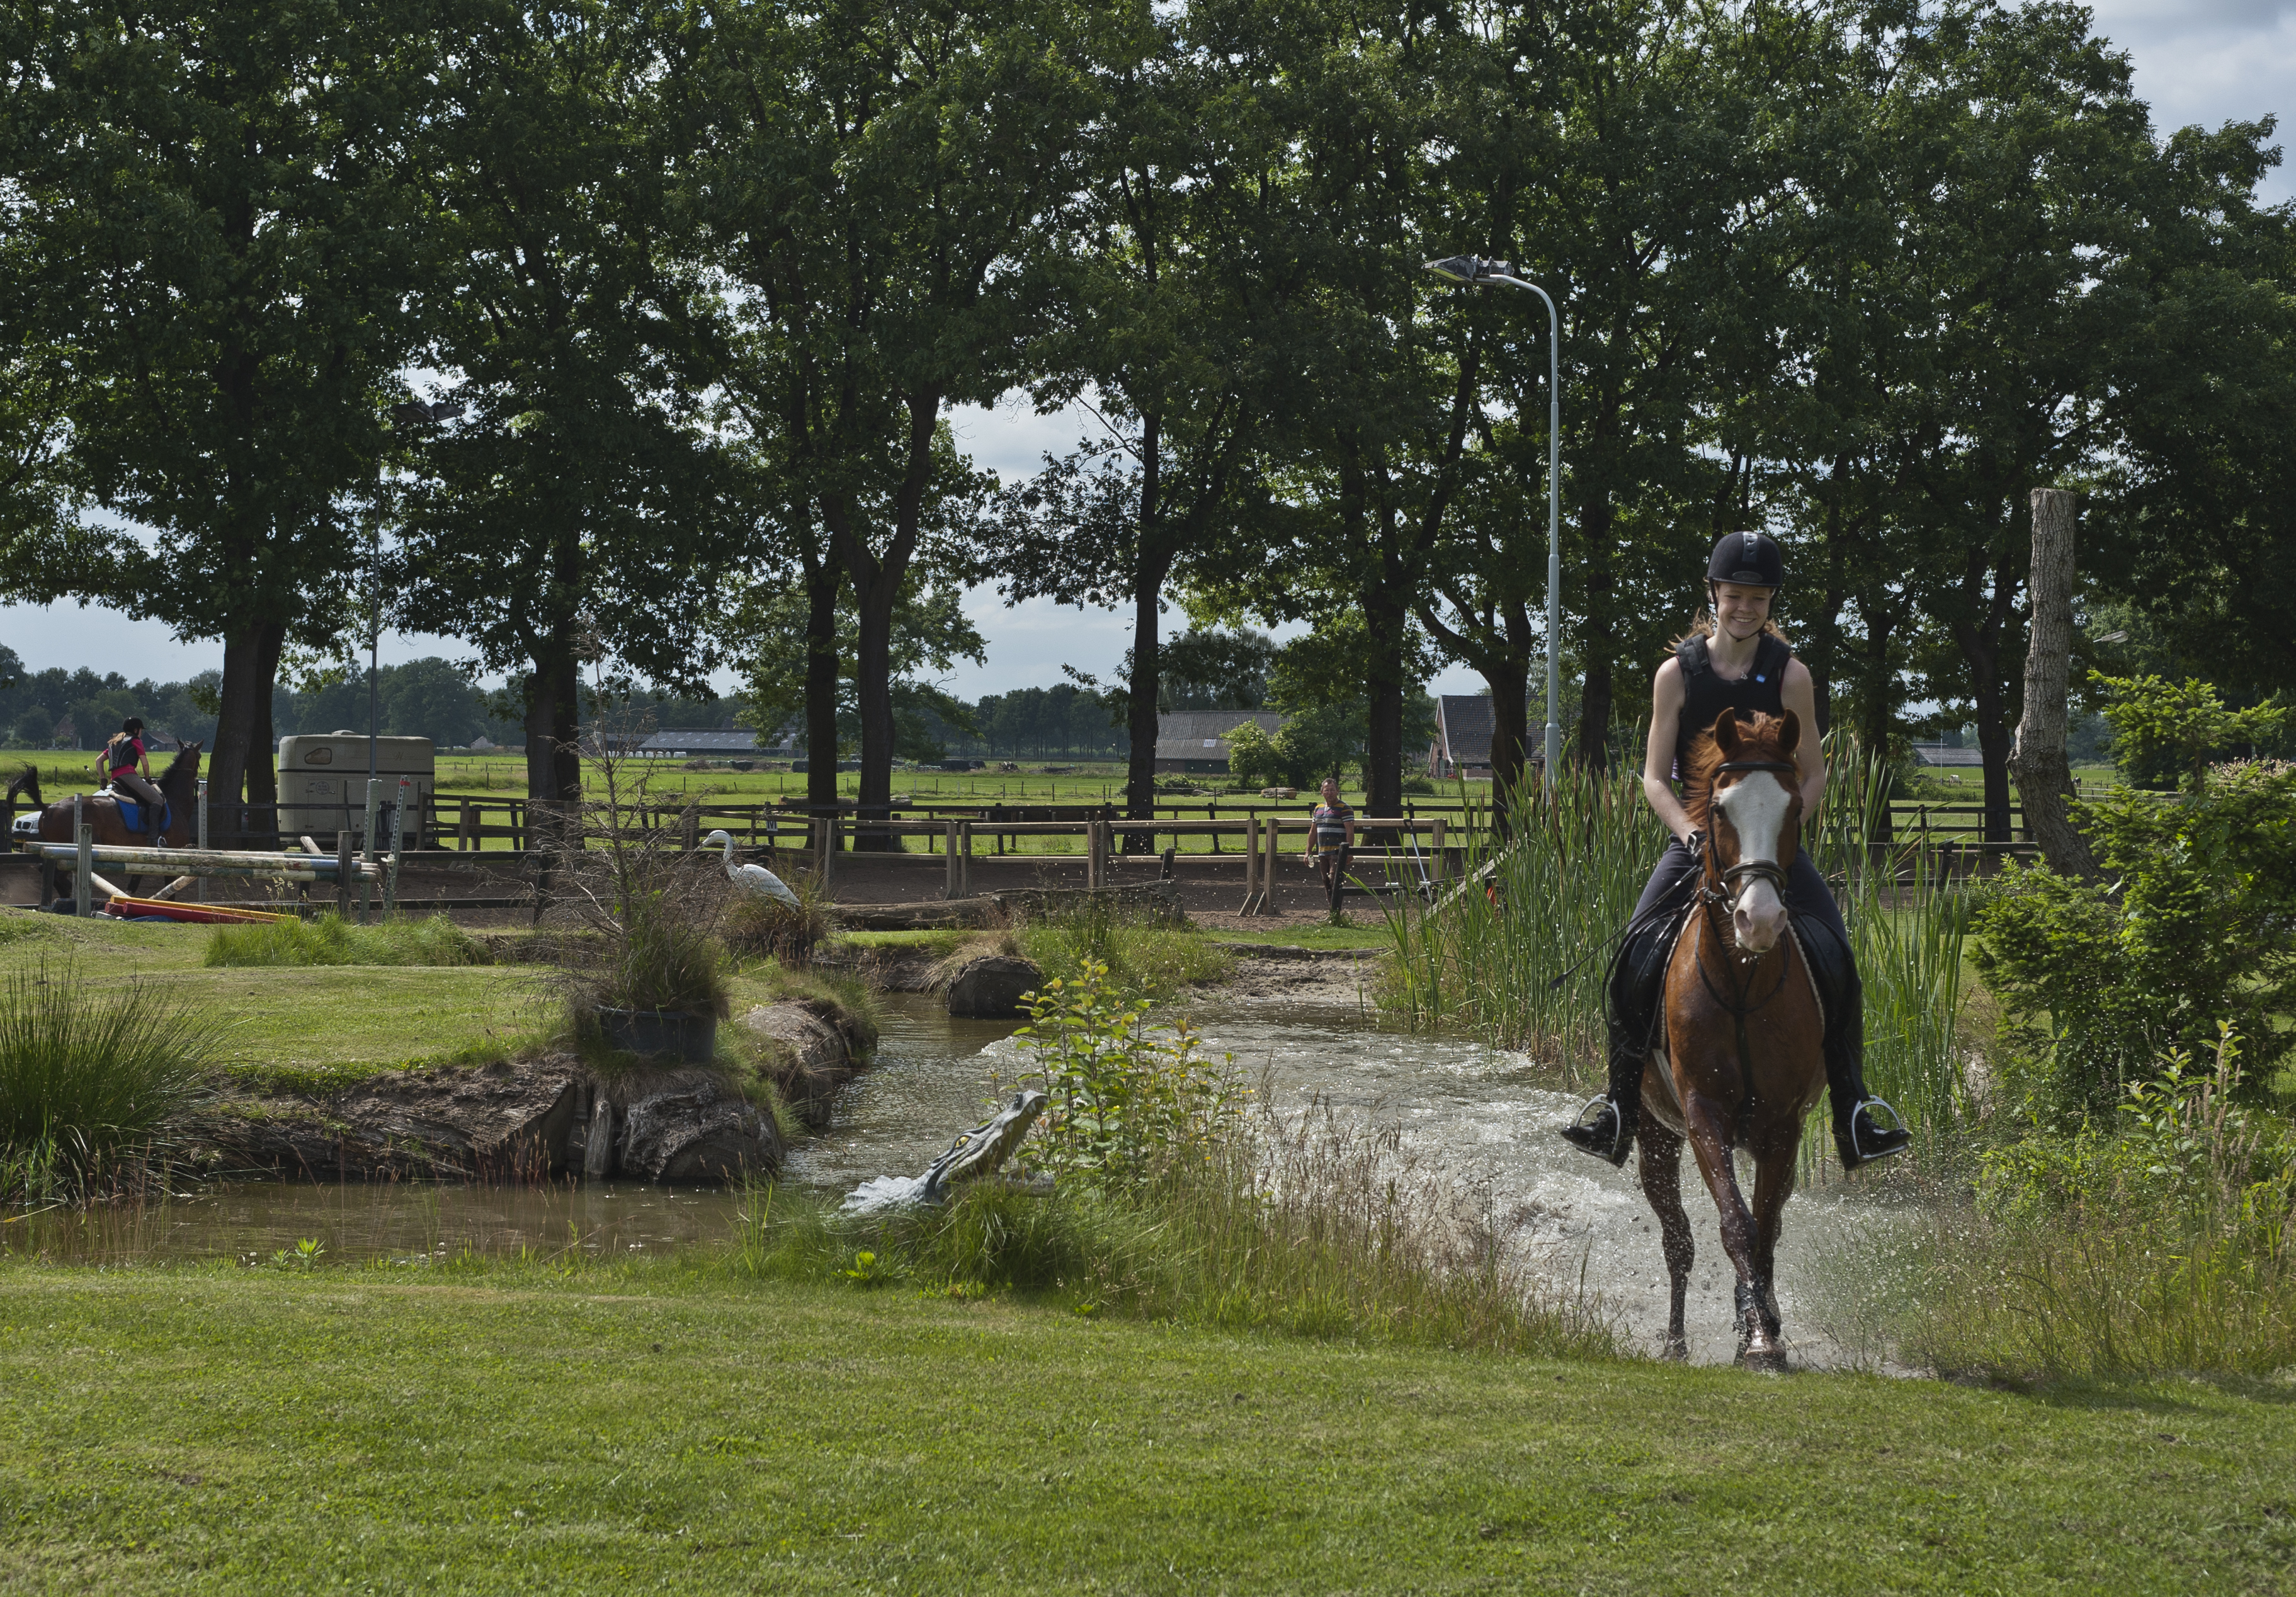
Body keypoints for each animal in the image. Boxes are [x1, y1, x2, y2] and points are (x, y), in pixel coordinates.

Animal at [1634, 711, 1827, 1377]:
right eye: (1720, 809)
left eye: (1794, 807)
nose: (1759, 920)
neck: (1744, 981)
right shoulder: (1703, 1116)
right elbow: (1735, 1225)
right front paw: (1759, 1339)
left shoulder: (1782, 1123)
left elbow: (1763, 1230)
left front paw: (1762, 1332)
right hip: (1653, 1135)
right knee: (1678, 1241)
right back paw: (1673, 1343)